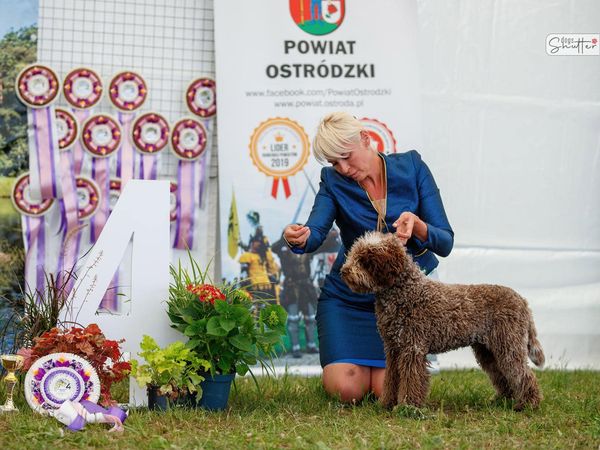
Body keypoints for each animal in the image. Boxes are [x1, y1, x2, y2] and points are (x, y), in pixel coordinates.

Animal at [340, 232, 544, 410]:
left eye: (365, 260)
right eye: (353, 254)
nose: (344, 271)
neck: (405, 292)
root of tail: (522, 300)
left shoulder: (412, 348)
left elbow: (411, 379)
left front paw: (407, 406)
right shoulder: (393, 349)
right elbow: (391, 378)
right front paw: (387, 404)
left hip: (507, 344)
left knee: (522, 374)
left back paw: (528, 404)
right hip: (488, 350)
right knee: (501, 376)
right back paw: (502, 400)